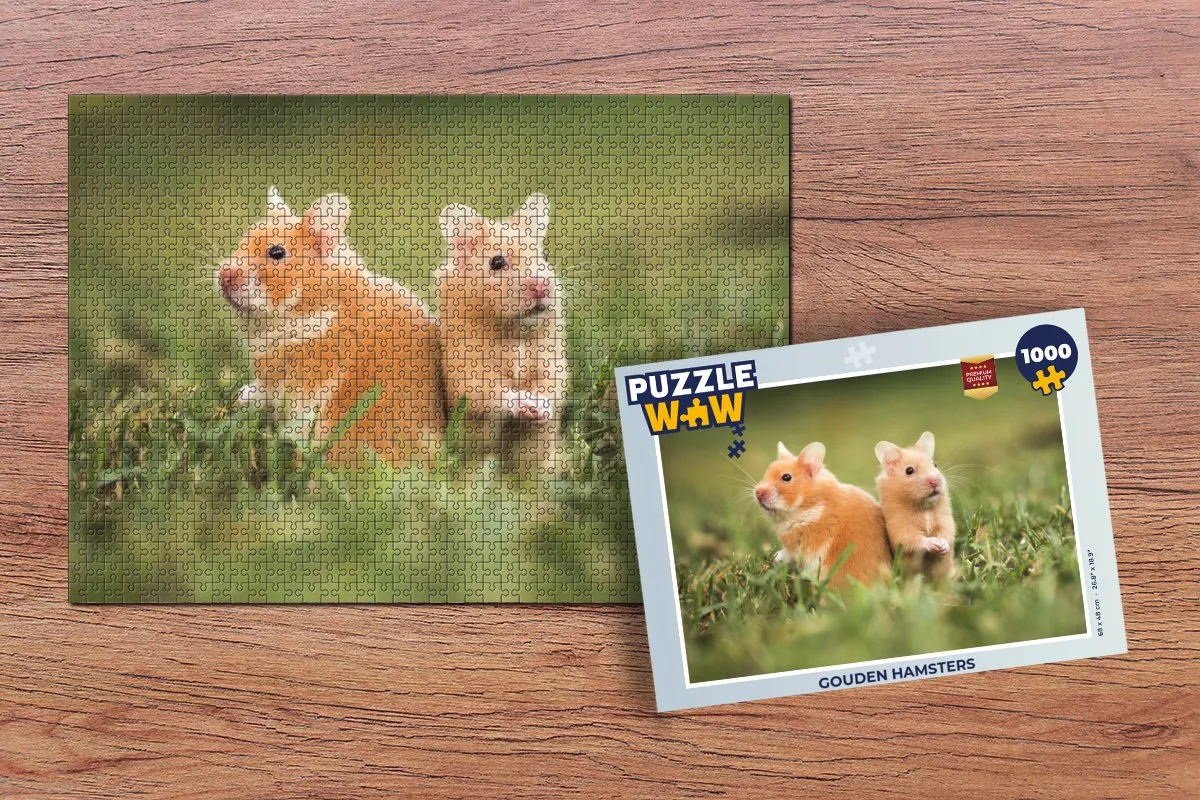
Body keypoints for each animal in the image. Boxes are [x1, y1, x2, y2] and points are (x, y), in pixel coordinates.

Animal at [216, 188, 444, 467]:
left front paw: (241, 397)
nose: (223, 276)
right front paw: (239, 397)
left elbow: (266, 394)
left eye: (277, 253)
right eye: (244, 238)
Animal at [436, 195, 568, 475]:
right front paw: (527, 405)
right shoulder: (465, 369)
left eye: (542, 257)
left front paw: (540, 409)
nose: (542, 287)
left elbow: (551, 387)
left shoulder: (553, 362)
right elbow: (493, 390)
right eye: (496, 262)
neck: (513, 332)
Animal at [755, 441, 892, 588]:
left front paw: (775, 557)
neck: (810, 507)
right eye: (767, 471)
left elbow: (787, 554)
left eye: (786, 477)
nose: (757, 493)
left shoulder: (798, 548)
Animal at [875, 431, 956, 581]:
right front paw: (934, 543)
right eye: (909, 470)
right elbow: (914, 539)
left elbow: (947, 532)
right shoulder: (901, 529)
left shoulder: (945, 520)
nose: (934, 481)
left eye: (935, 465)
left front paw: (941, 545)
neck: (924, 508)